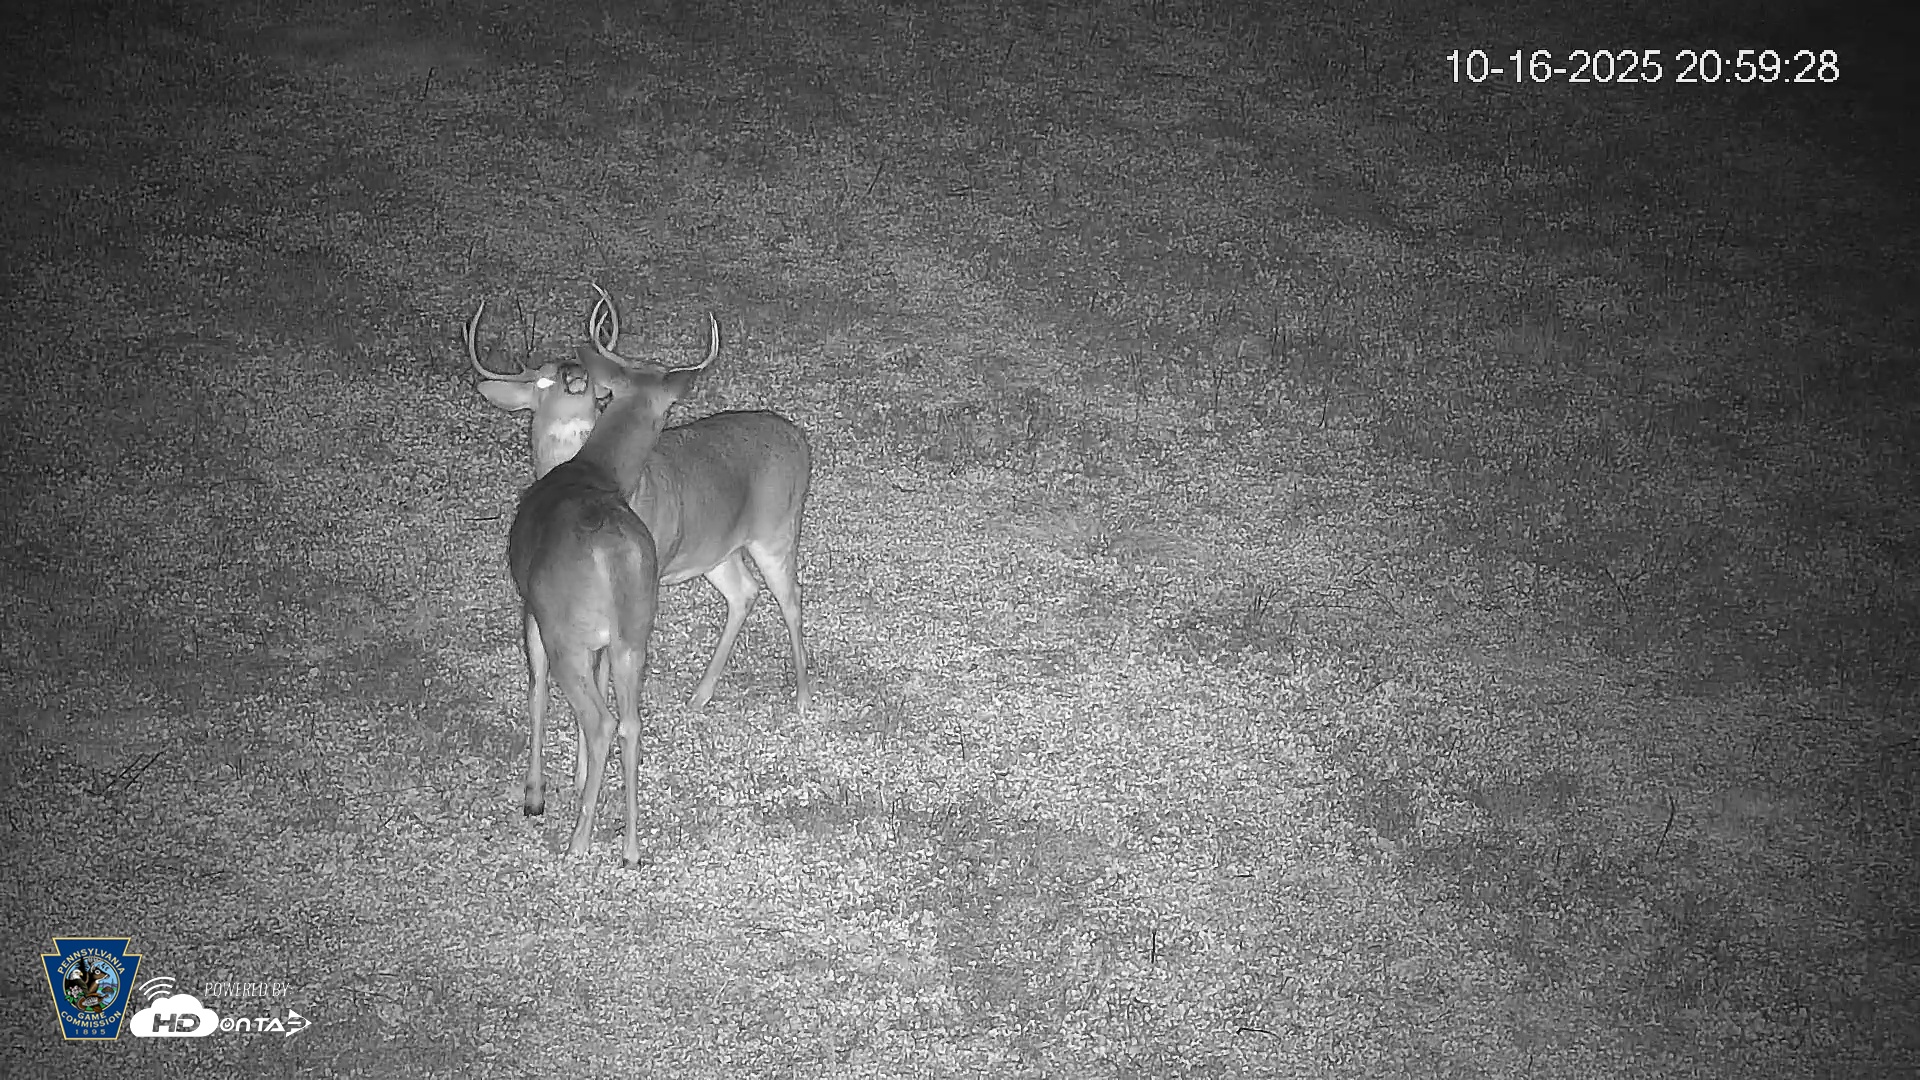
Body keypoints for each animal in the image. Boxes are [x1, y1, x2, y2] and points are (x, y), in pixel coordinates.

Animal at [466, 293, 720, 866]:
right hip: (635, 634)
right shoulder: (608, 642)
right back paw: (630, 848)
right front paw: (582, 779)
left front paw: (536, 795)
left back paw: (578, 841)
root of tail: (613, 552)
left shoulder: (531, 609)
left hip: (567, 634)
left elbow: (535, 690)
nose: (573, 374)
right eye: (544, 377)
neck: (591, 470)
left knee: (600, 720)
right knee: (629, 722)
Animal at [472, 286, 812, 724]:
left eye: (592, 387)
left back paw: (802, 696)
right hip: (717, 550)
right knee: (745, 592)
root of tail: (800, 440)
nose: (575, 377)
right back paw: (700, 695)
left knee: (790, 597)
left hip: (776, 531)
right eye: (543, 380)